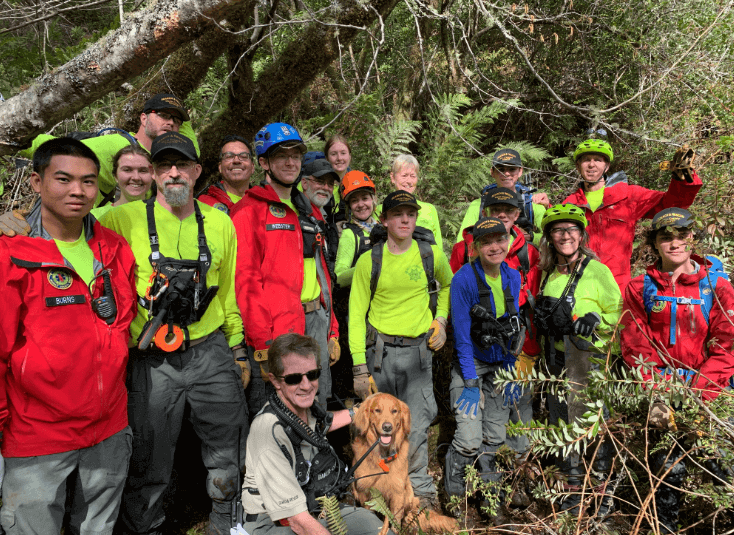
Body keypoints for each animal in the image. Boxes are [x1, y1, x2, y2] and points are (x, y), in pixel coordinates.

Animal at [352, 392, 460, 532]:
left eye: (394, 411)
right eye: (377, 410)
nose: (387, 427)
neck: (383, 458)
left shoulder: (398, 492)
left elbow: (395, 520)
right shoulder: (364, 492)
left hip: (408, 494)